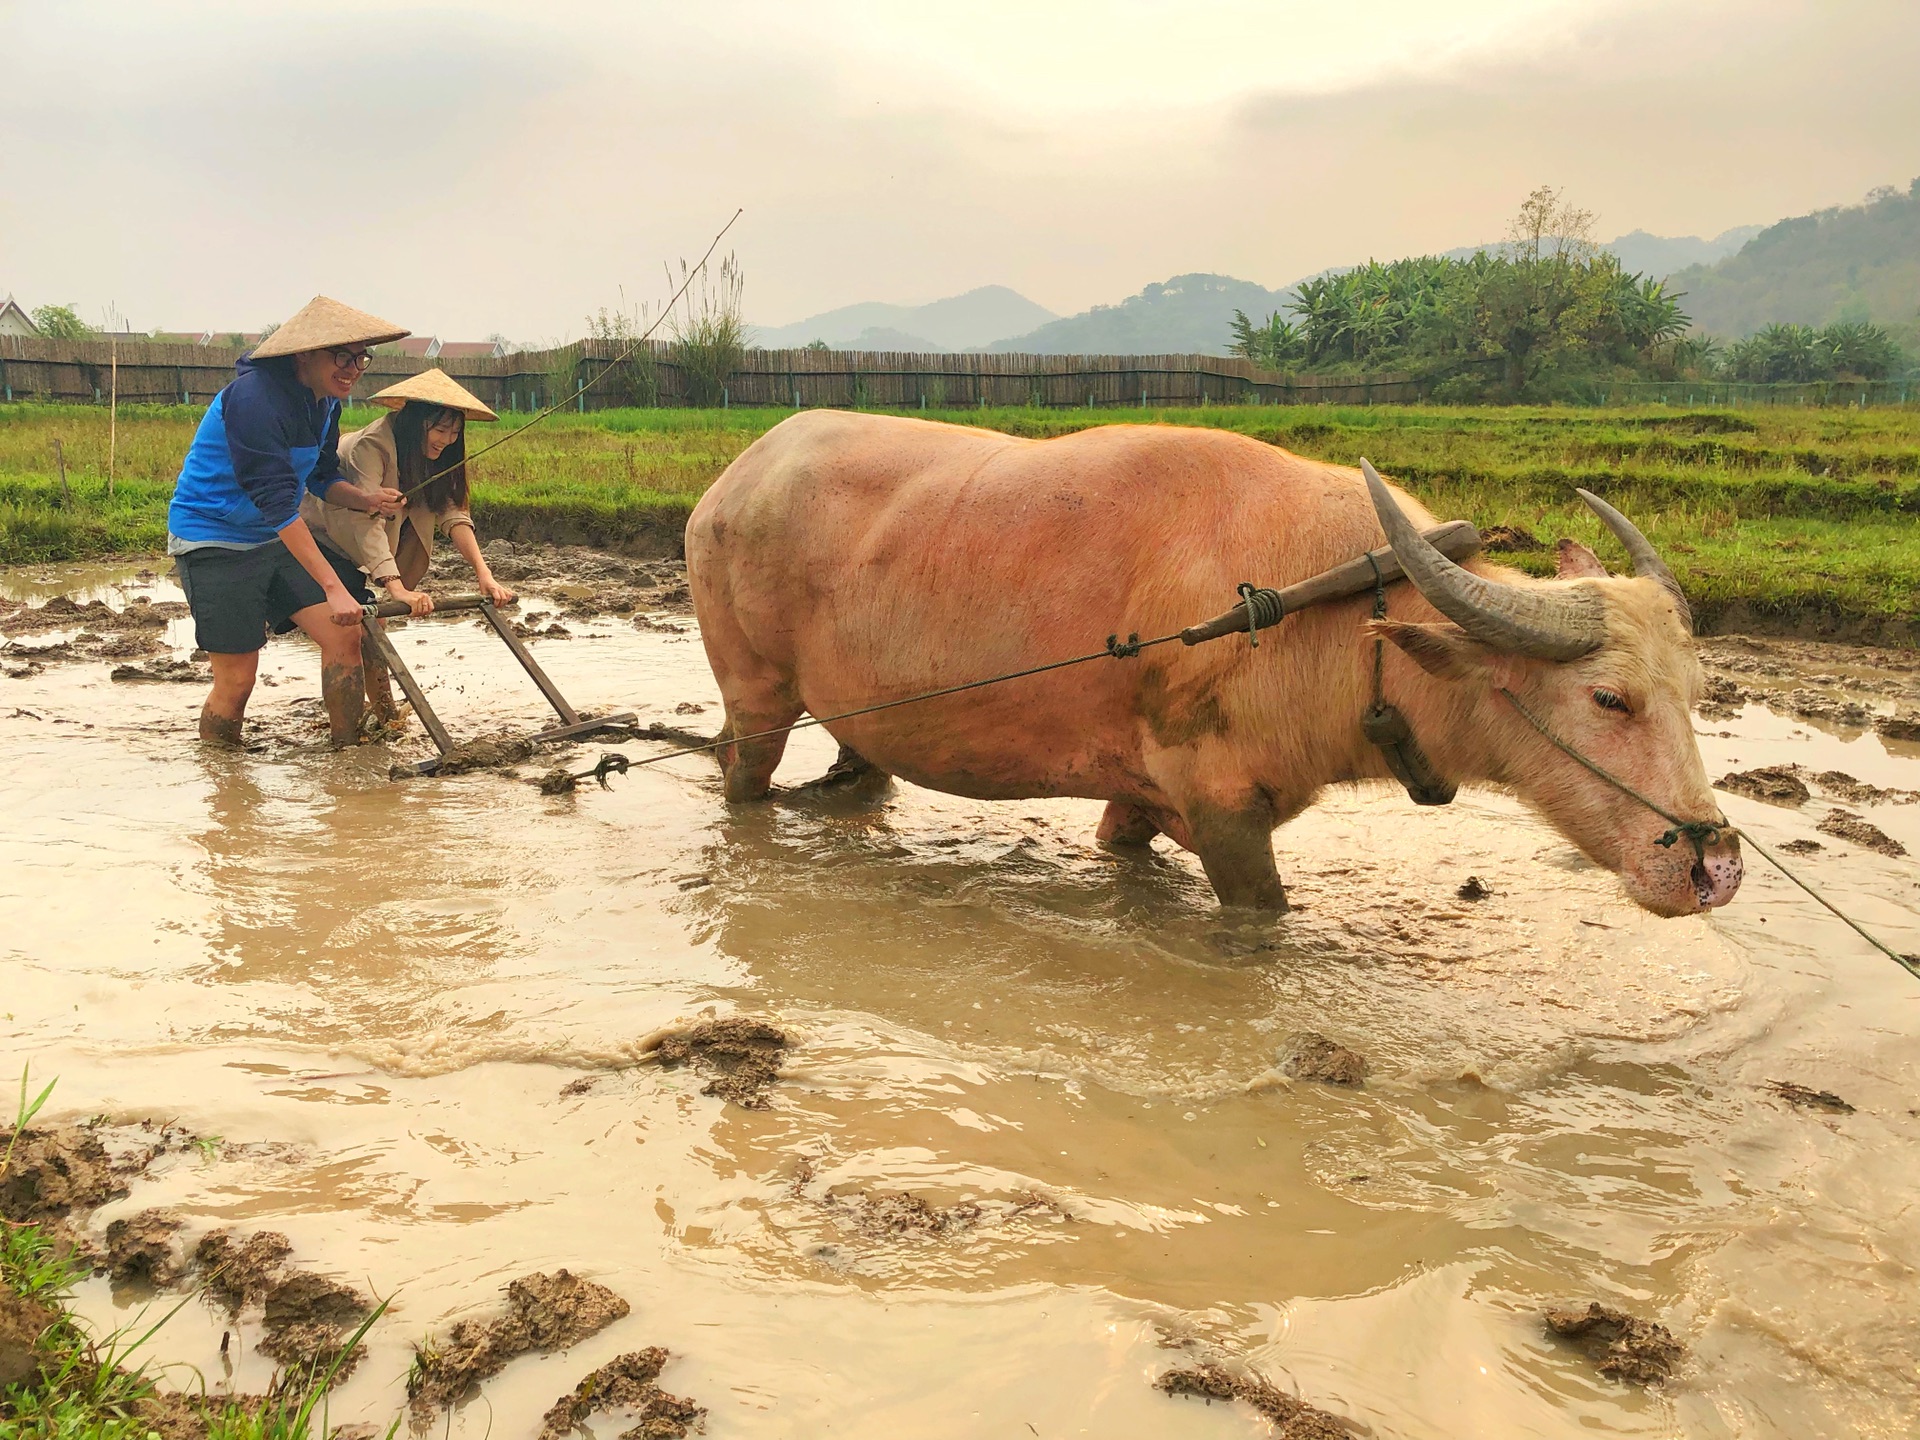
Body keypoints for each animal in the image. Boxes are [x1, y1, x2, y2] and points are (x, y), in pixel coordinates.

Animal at [687, 410, 1743, 917]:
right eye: (1608, 698)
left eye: (1695, 697)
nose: (1714, 865)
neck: (1339, 620)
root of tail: (732, 482)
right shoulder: (1225, 806)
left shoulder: (1142, 797)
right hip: (755, 691)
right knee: (744, 770)